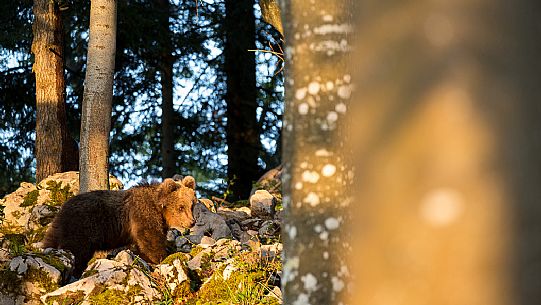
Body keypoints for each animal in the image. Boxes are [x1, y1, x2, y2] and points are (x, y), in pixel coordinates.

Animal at [42, 175, 197, 276]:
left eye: (192, 205)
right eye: (181, 207)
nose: (192, 222)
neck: (159, 208)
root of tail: (64, 207)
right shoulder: (142, 212)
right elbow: (150, 237)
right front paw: (160, 257)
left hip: (62, 227)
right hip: (81, 226)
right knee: (76, 249)